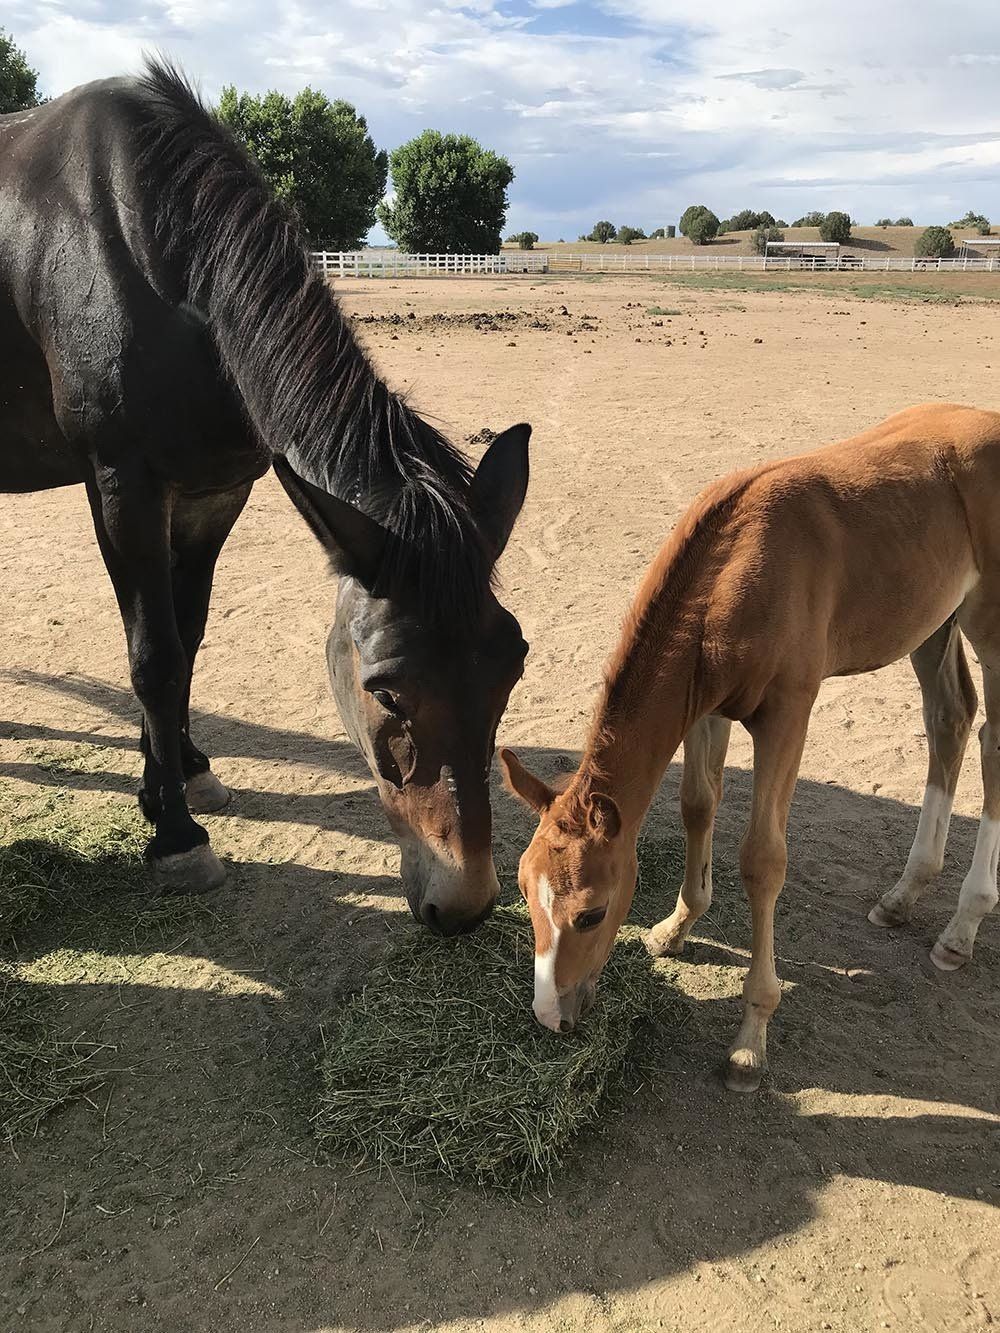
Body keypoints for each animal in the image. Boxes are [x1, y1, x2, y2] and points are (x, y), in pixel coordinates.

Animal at [0, 60, 531, 936]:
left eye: (511, 667)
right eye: (387, 691)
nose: (465, 904)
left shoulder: (213, 493)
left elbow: (188, 639)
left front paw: (178, 776)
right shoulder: (121, 484)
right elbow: (153, 654)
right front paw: (177, 837)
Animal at [502, 402, 1000, 1090]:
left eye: (592, 914)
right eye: (525, 894)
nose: (551, 1017)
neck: (736, 571)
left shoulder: (787, 713)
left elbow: (763, 861)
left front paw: (749, 1040)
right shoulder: (706, 707)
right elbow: (697, 806)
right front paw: (675, 928)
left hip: (990, 624)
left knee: (992, 742)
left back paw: (961, 927)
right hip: (932, 623)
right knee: (949, 720)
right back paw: (903, 896)